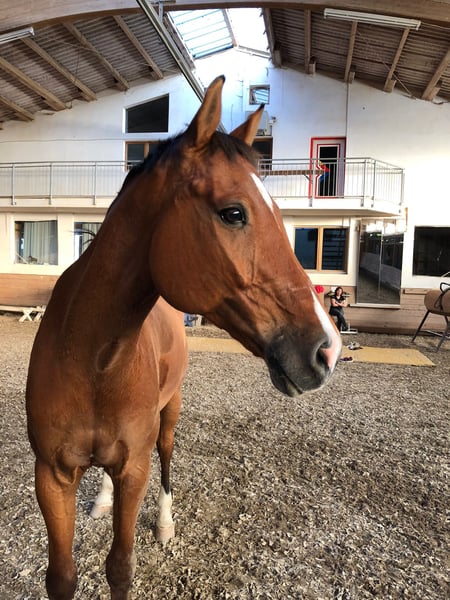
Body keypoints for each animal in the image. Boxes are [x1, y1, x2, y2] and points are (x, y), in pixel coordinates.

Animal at [26, 75, 341, 600]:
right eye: (233, 213)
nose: (327, 348)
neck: (93, 358)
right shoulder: (51, 477)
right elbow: (62, 577)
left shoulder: (135, 469)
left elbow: (120, 566)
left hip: (169, 414)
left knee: (168, 458)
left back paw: (165, 523)